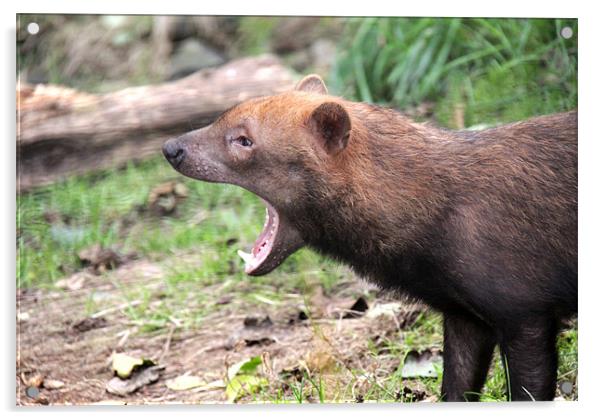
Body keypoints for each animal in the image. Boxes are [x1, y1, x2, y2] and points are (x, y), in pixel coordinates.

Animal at [162, 74, 576, 400]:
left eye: (244, 139)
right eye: (223, 116)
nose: (170, 147)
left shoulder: (525, 316)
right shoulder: (464, 319)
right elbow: (456, 389)